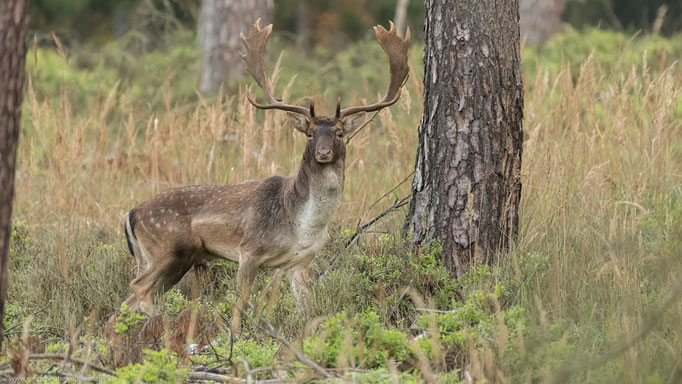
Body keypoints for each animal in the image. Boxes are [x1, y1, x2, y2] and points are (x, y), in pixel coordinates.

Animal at [121, 18, 410, 336]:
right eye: (310, 134)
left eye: (339, 133)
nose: (323, 153)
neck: (301, 224)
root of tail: (131, 213)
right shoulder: (249, 250)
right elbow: (240, 303)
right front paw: (235, 337)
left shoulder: (299, 262)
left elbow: (305, 309)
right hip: (172, 248)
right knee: (138, 287)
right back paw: (158, 324)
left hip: (163, 257)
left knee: (128, 299)